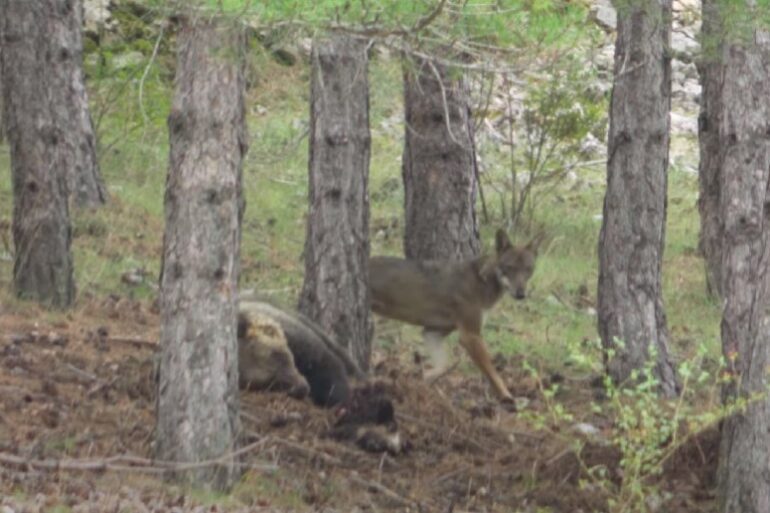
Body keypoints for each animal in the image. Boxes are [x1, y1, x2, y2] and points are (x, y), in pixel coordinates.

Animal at [369, 229, 542, 401]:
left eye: (528, 269)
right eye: (510, 267)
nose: (521, 294)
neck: (483, 279)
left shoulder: (431, 332)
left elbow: (444, 365)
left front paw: (423, 381)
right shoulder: (470, 336)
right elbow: (493, 375)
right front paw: (508, 397)